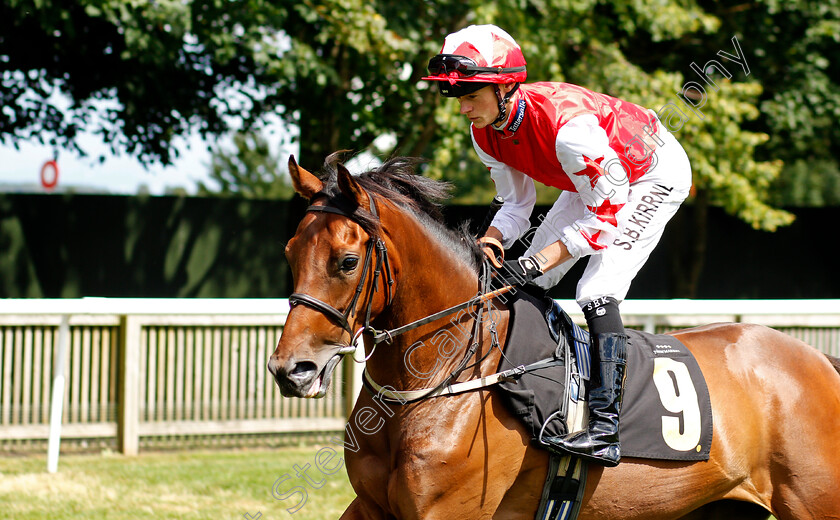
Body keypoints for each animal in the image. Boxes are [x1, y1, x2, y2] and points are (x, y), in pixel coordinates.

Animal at [268, 154, 840, 520]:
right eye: (290, 252)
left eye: (346, 261)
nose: (290, 370)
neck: (437, 381)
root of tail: (818, 361)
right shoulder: (370, 507)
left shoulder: (445, 512)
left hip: (815, 502)